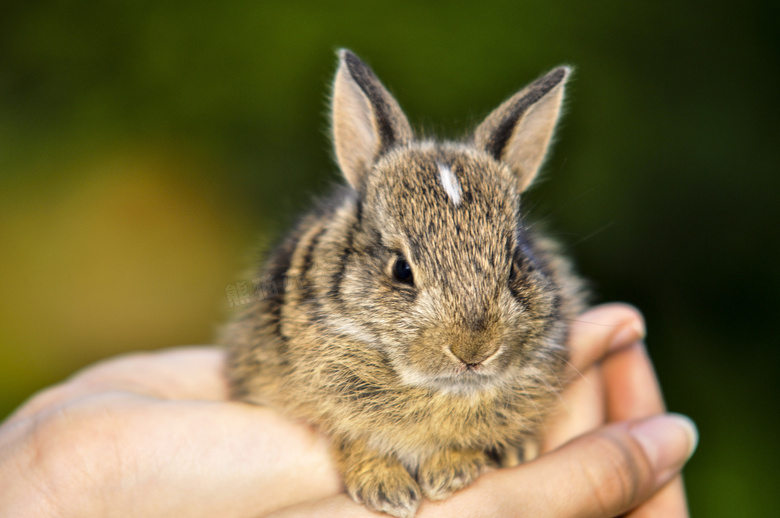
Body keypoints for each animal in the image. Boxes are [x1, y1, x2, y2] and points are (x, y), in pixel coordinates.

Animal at [222, 49, 588, 518]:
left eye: (513, 265)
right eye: (401, 269)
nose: (475, 351)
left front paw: (449, 473)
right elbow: (353, 440)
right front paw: (388, 491)